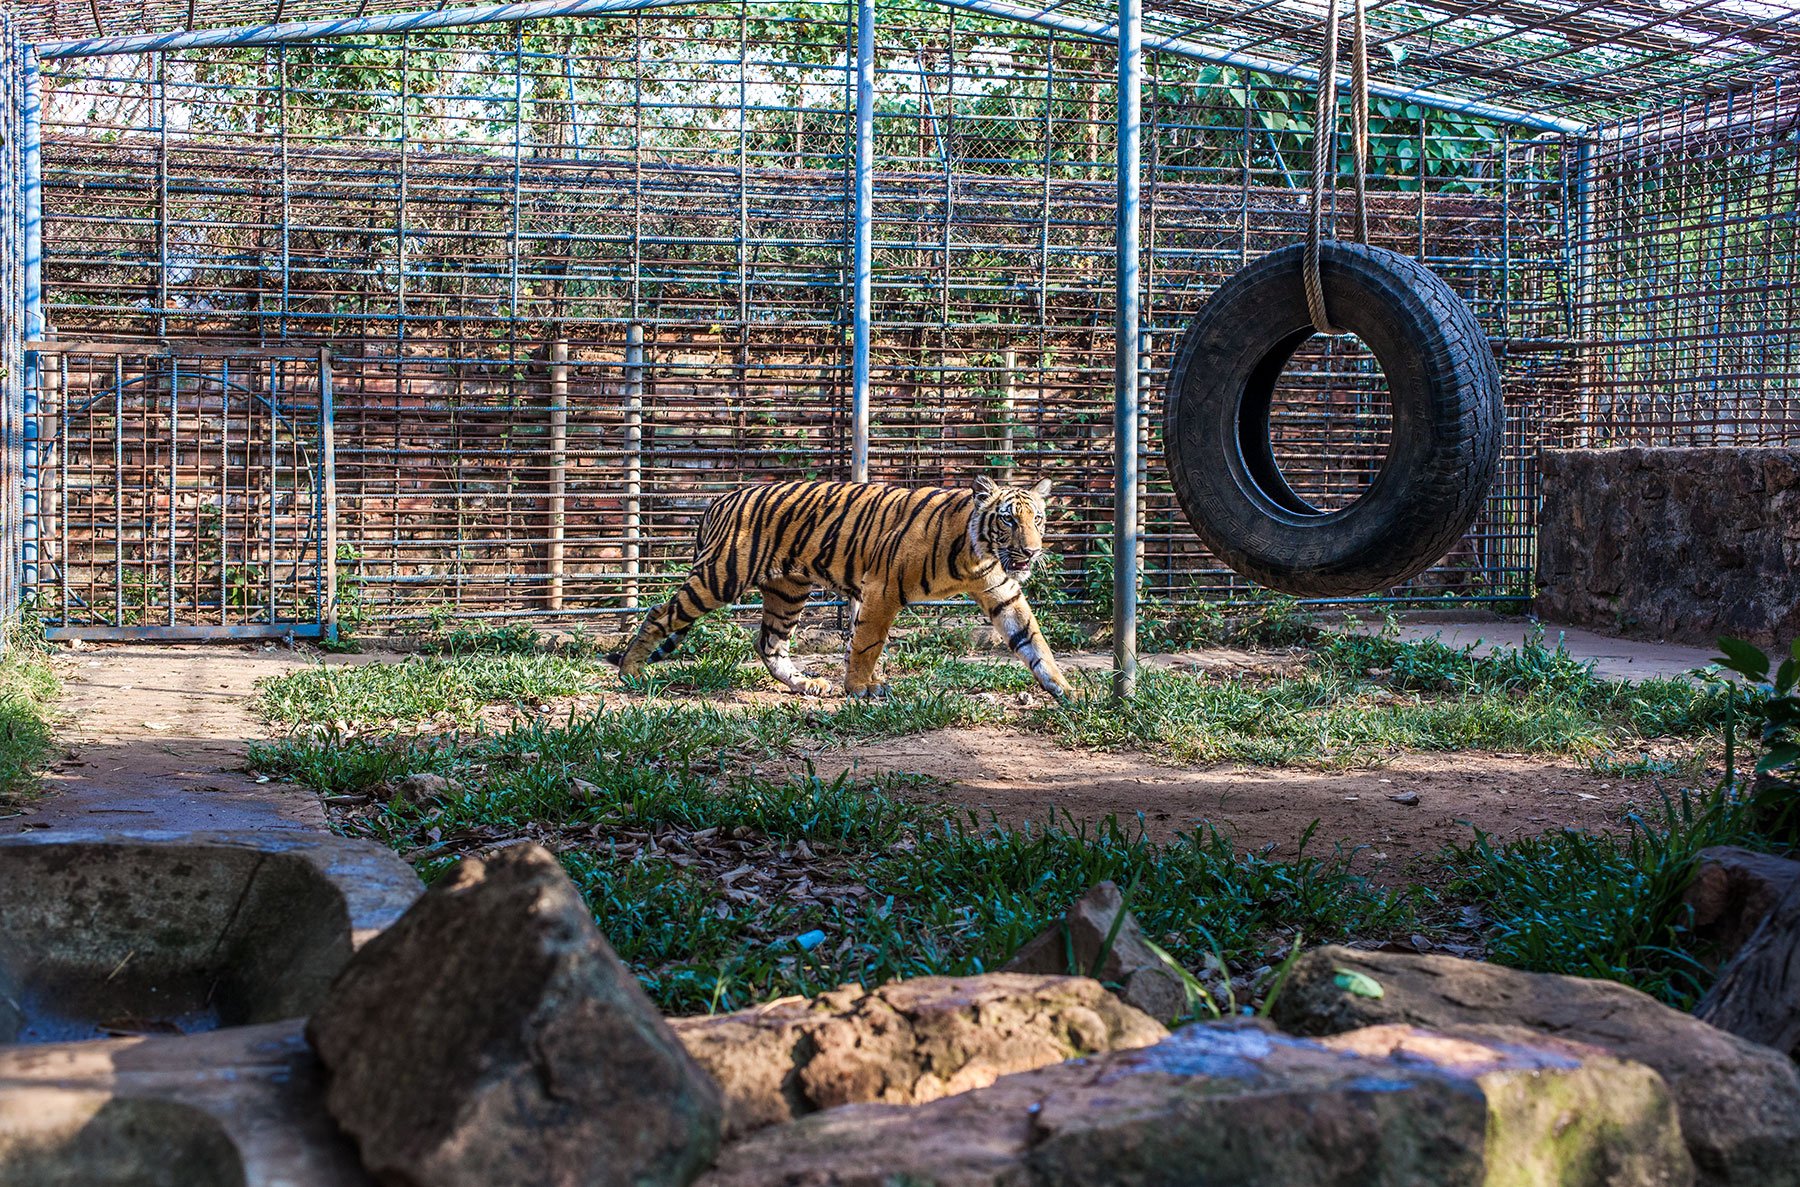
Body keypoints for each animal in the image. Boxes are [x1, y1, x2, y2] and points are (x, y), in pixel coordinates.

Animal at [612, 479, 1072, 702]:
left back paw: (806, 685)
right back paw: (631, 673)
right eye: (1009, 519)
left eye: (1038, 519)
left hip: (788, 590)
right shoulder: (883, 588)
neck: (980, 555)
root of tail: (718, 500)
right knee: (660, 613)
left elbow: (1033, 642)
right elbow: (868, 642)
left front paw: (1066, 691)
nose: (1032, 551)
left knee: (769, 643)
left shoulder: (1004, 594)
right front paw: (861, 688)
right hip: (721, 575)